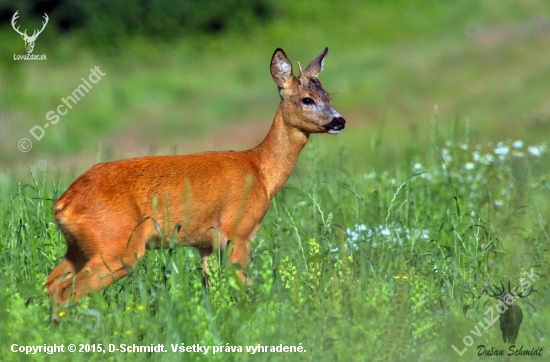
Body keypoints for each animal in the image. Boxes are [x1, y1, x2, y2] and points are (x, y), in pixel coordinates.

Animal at [48, 46, 350, 320]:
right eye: (307, 99)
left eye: (329, 96)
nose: (340, 121)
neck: (261, 172)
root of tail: (64, 204)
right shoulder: (239, 231)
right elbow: (244, 287)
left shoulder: (206, 244)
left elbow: (213, 292)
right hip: (118, 246)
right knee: (67, 291)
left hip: (80, 247)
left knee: (51, 284)